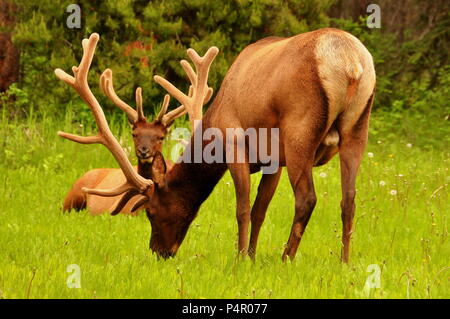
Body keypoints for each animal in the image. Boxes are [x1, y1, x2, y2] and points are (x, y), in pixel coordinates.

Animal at [54, 28, 374, 264]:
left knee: (307, 198)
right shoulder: (274, 161)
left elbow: (242, 208)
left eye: (150, 211)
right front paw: (252, 257)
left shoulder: (236, 145)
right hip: (357, 129)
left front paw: (240, 260)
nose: (159, 252)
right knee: (349, 199)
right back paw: (344, 262)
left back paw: (286, 258)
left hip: (300, 130)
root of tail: (351, 63)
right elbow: (260, 210)